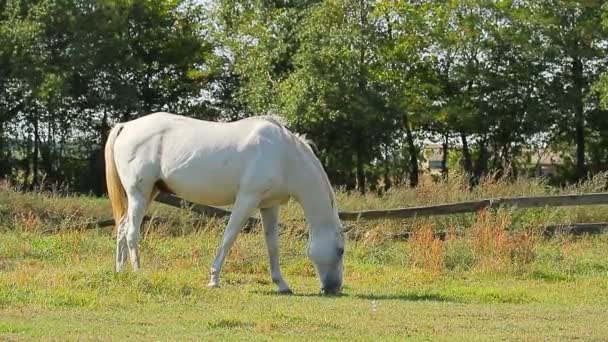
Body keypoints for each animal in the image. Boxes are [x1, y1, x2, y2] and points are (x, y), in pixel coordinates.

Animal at [103, 112, 342, 294]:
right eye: (340, 250)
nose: (334, 288)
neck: (284, 155)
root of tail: (125, 126)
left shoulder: (269, 206)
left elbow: (272, 245)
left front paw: (282, 284)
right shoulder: (247, 199)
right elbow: (229, 238)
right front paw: (213, 279)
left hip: (149, 193)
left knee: (122, 228)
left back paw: (120, 271)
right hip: (139, 194)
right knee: (132, 232)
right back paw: (138, 273)